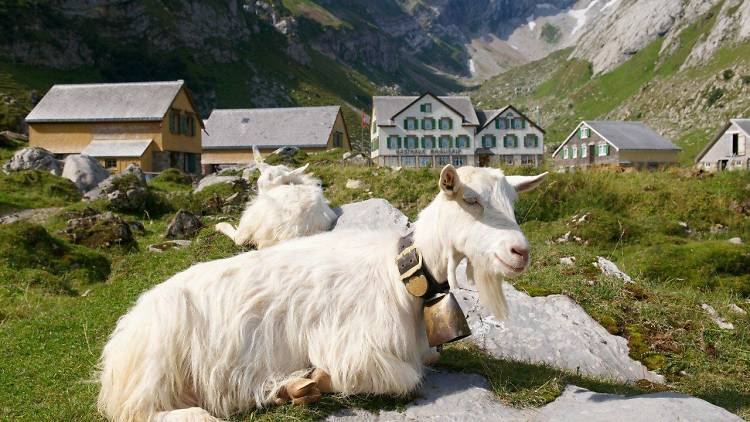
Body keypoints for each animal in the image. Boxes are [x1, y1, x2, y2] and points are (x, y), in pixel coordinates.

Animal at [98, 166, 548, 422]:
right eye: (469, 199)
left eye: (513, 203)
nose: (519, 252)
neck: (399, 275)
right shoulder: (356, 348)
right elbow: (402, 377)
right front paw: (315, 379)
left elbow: (429, 359)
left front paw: (298, 386)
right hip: (156, 369)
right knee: (138, 412)